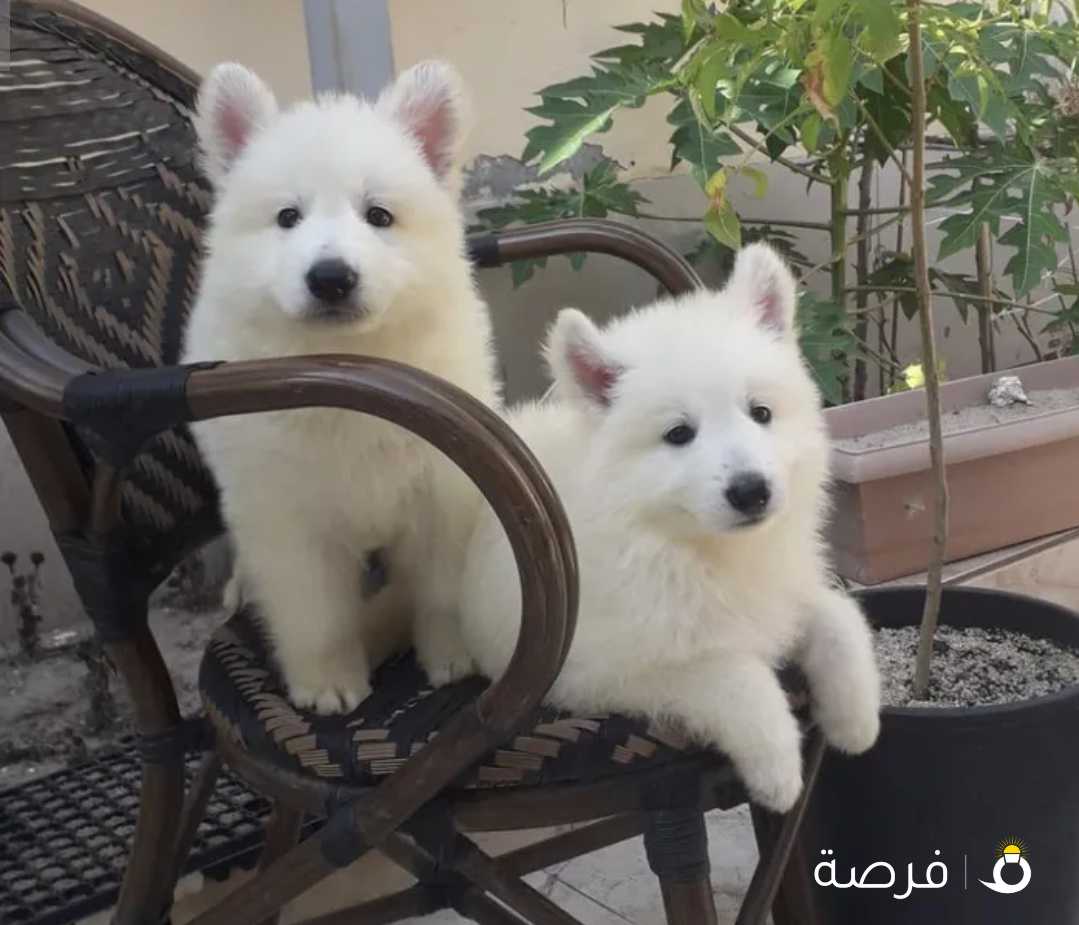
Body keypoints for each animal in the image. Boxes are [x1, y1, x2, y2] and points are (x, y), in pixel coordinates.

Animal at [182, 63, 496, 716]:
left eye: (378, 216)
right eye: (287, 217)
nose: (330, 278)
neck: (353, 363)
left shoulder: (445, 491)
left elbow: (443, 590)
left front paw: (452, 656)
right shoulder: (289, 514)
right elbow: (317, 614)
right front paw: (328, 681)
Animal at [459, 243, 880, 807]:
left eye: (761, 412)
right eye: (679, 434)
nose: (751, 491)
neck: (691, 546)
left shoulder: (783, 594)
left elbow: (840, 617)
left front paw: (857, 720)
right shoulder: (607, 671)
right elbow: (734, 673)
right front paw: (778, 770)